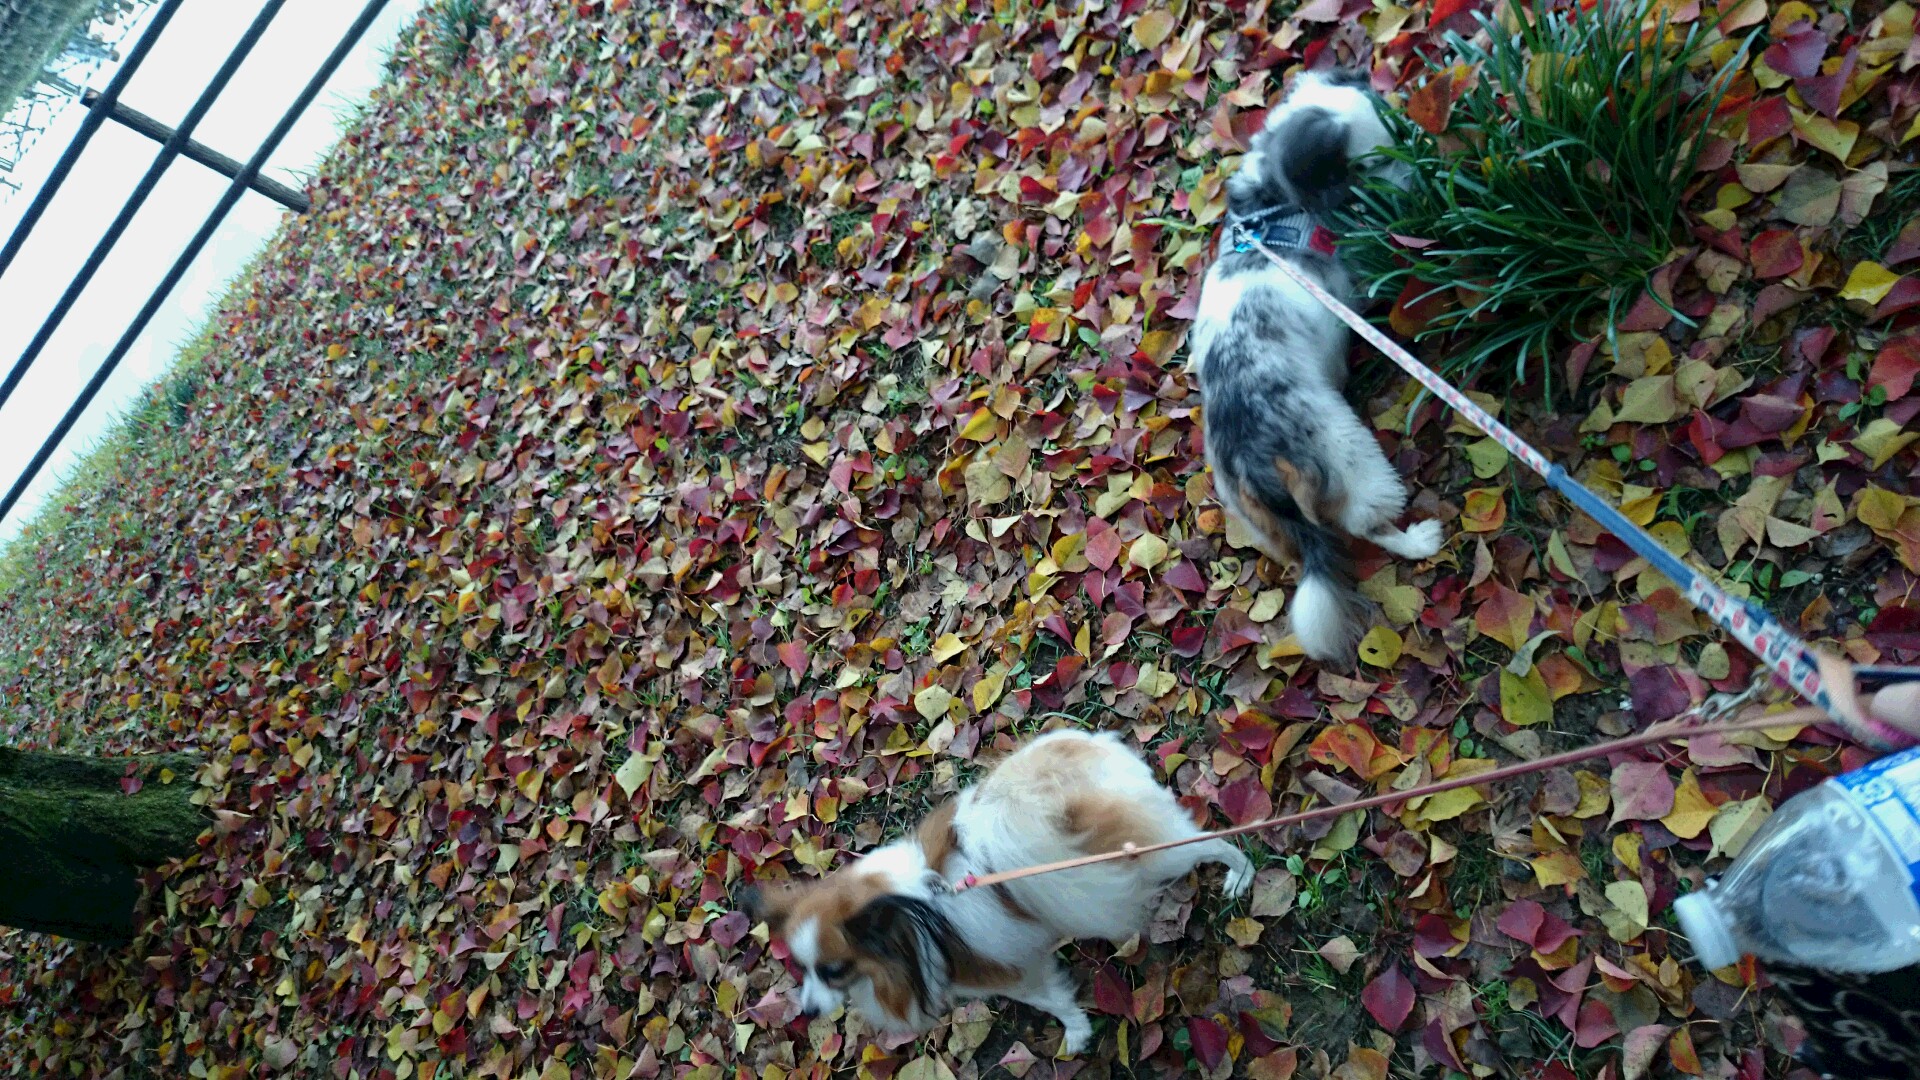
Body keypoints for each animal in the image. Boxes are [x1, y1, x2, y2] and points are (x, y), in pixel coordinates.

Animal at [739, 730, 1253, 1054]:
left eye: (835, 971)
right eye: (801, 968)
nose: (806, 1012)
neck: (915, 922)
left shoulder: (1009, 975)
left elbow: (1052, 1001)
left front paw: (1077, 1032)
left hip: (1150, 854)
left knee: (1212, 842)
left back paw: (1241, 874)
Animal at [1187, 69, 1443, 667]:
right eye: (1366, 165)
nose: (1417, 156)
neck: (1274, 208)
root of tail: (1252, 462)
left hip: (1265, 524)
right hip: (1354, 457)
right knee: (1366, 523)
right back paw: (1421, 540)